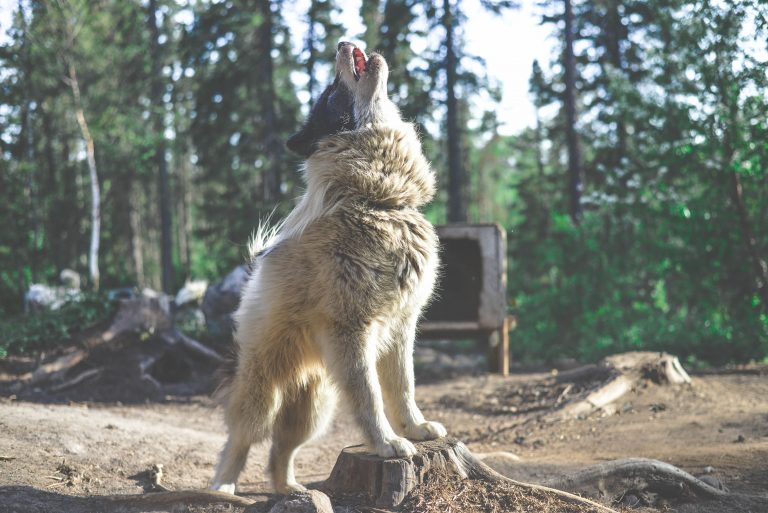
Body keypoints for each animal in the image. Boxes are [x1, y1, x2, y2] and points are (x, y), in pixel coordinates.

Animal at [213, 42, 448, 494]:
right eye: (330, 95)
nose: (342, 43)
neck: (379, 202)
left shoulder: (402, 327)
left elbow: (403, 387)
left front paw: (415, 428)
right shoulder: (351, 331)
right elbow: (371, 397)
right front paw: (388, 444)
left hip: (314, 409)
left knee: (280, 452)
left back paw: (292, 490)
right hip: (263, 397)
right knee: (239, 442)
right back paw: (222, 490)